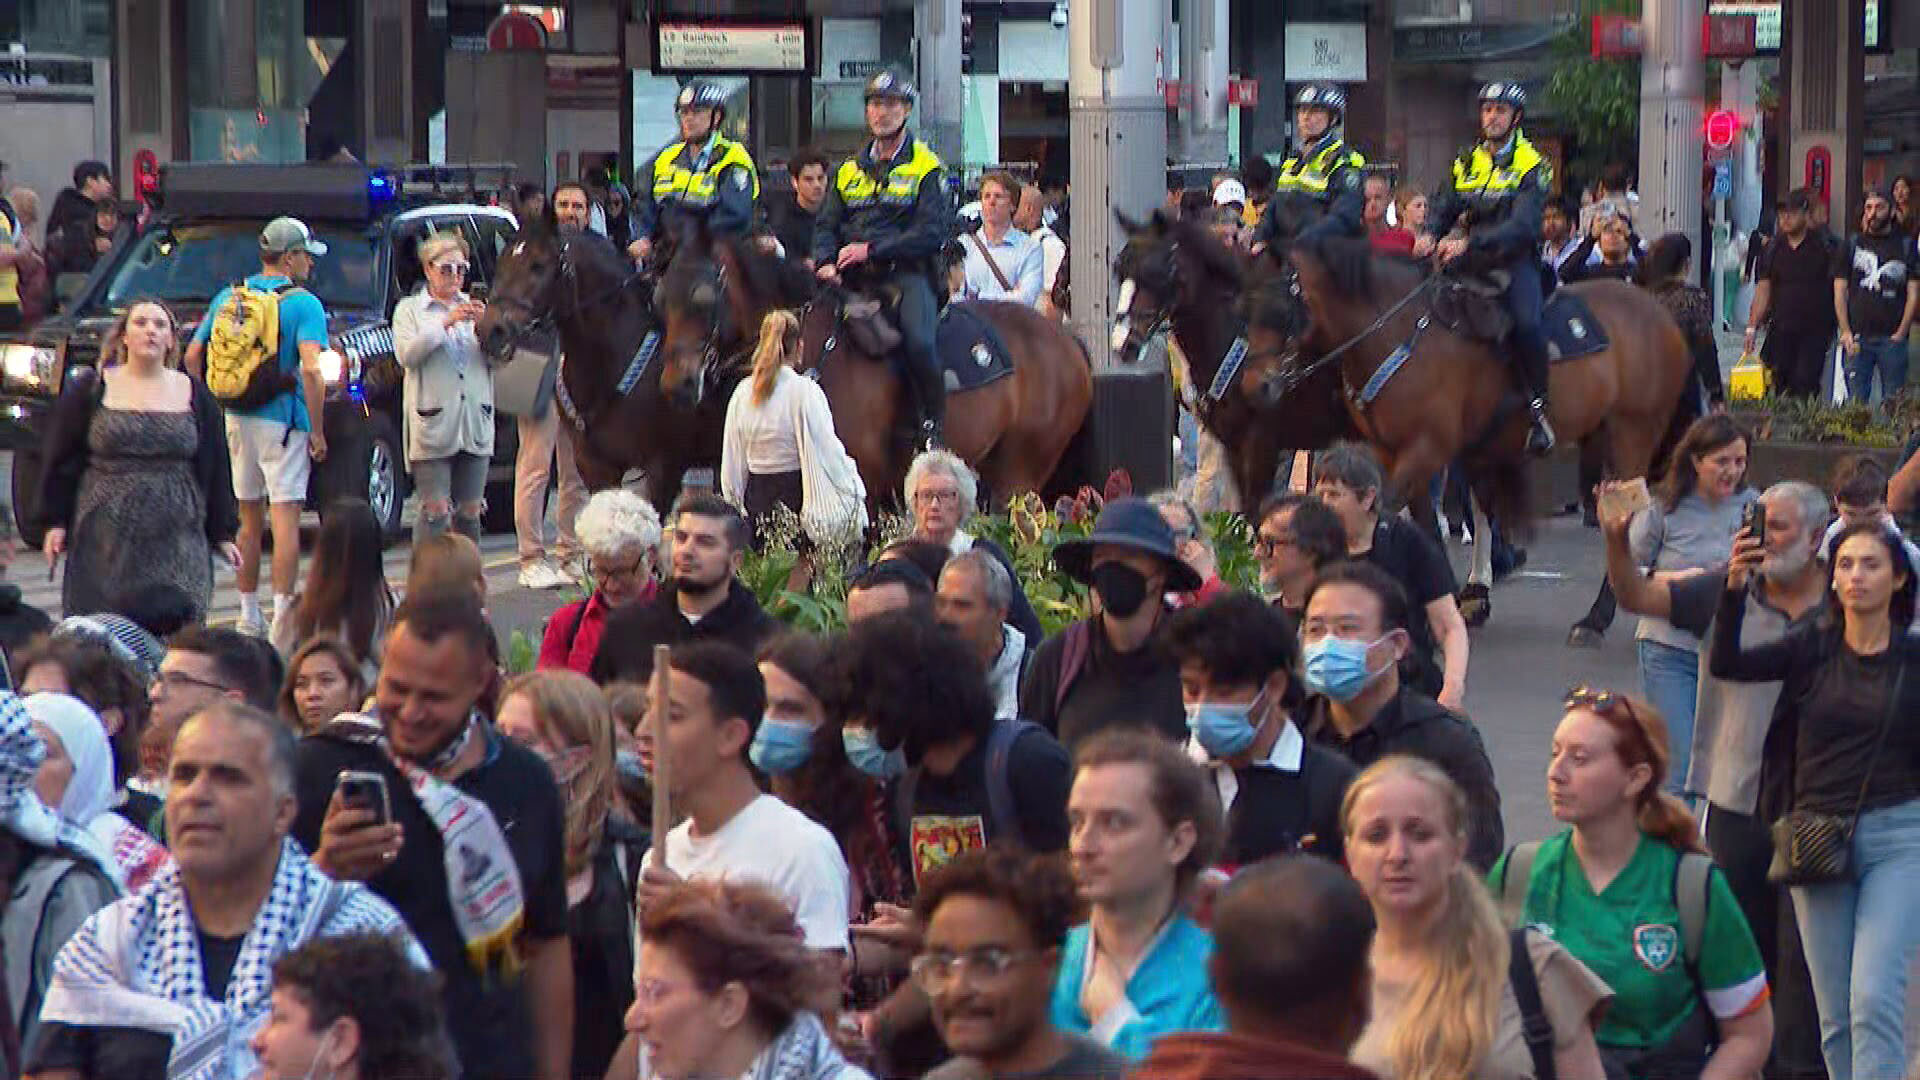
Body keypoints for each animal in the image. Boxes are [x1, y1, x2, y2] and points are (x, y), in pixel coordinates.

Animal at [648, 228, 1090, 507]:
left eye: (703, 297)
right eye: (659, 298)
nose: (675, 385)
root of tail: (1065, 340)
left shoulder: (864, 488)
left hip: (1021, 475)